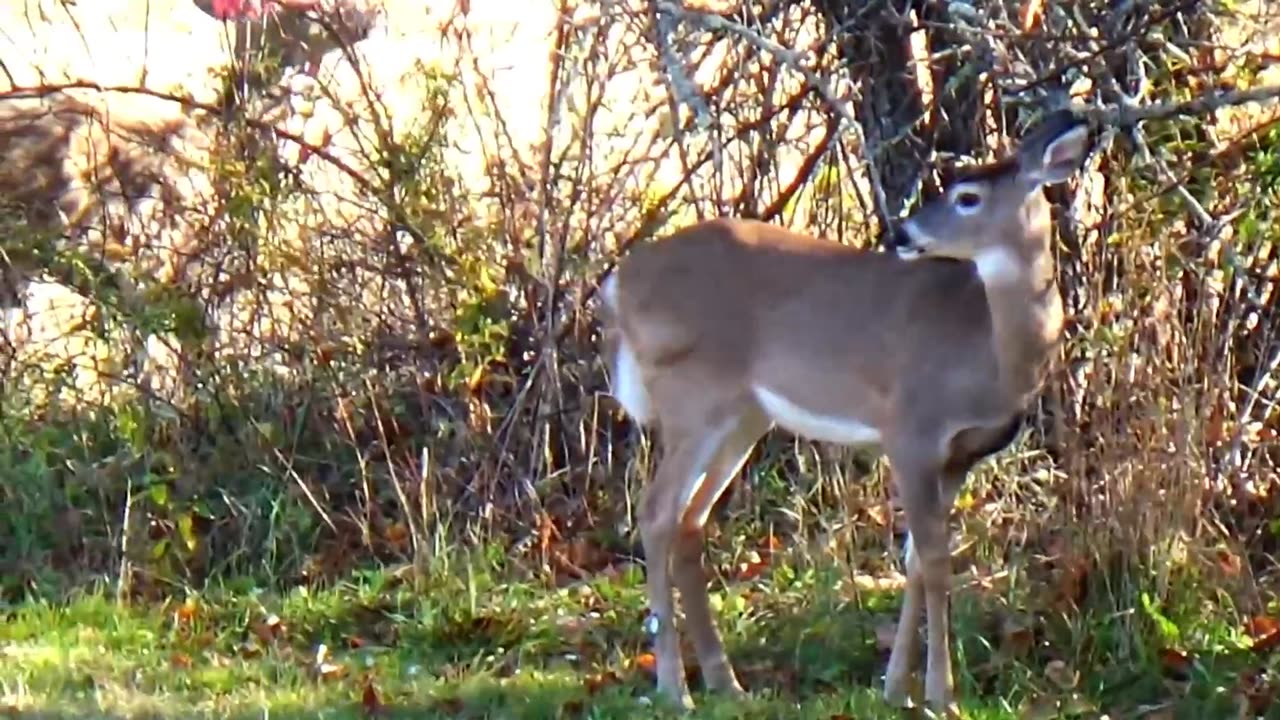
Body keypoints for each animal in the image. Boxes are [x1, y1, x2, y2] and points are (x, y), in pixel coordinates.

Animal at [599, 109, 1090, 707]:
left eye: (968, 197)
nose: (903, 234)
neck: (987, 352)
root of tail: (616, 284)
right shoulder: (909, 429)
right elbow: (935, 559)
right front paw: (940, 694)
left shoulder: (958, 455)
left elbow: (916, 560)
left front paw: (896, 688)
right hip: (692, 395)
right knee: (656, 513)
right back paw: (675, 688)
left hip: (743, 414)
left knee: (690, 520)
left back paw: (725, 682)